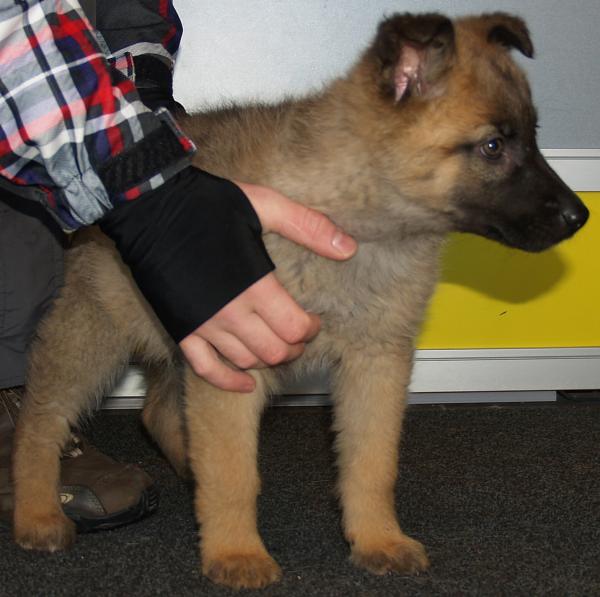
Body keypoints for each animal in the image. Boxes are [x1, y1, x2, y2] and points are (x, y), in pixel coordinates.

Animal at [12, 12, 588, 589]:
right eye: (493, 146)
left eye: (534, 138)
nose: (579, 217)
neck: (354, 216)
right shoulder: (236, 359)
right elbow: (234, 472)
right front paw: (236, 552)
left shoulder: (375, 362)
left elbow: (372, 463)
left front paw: (377, 538)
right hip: (96, 330)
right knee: (41, 419)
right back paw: (37, 512)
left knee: (157, 410)